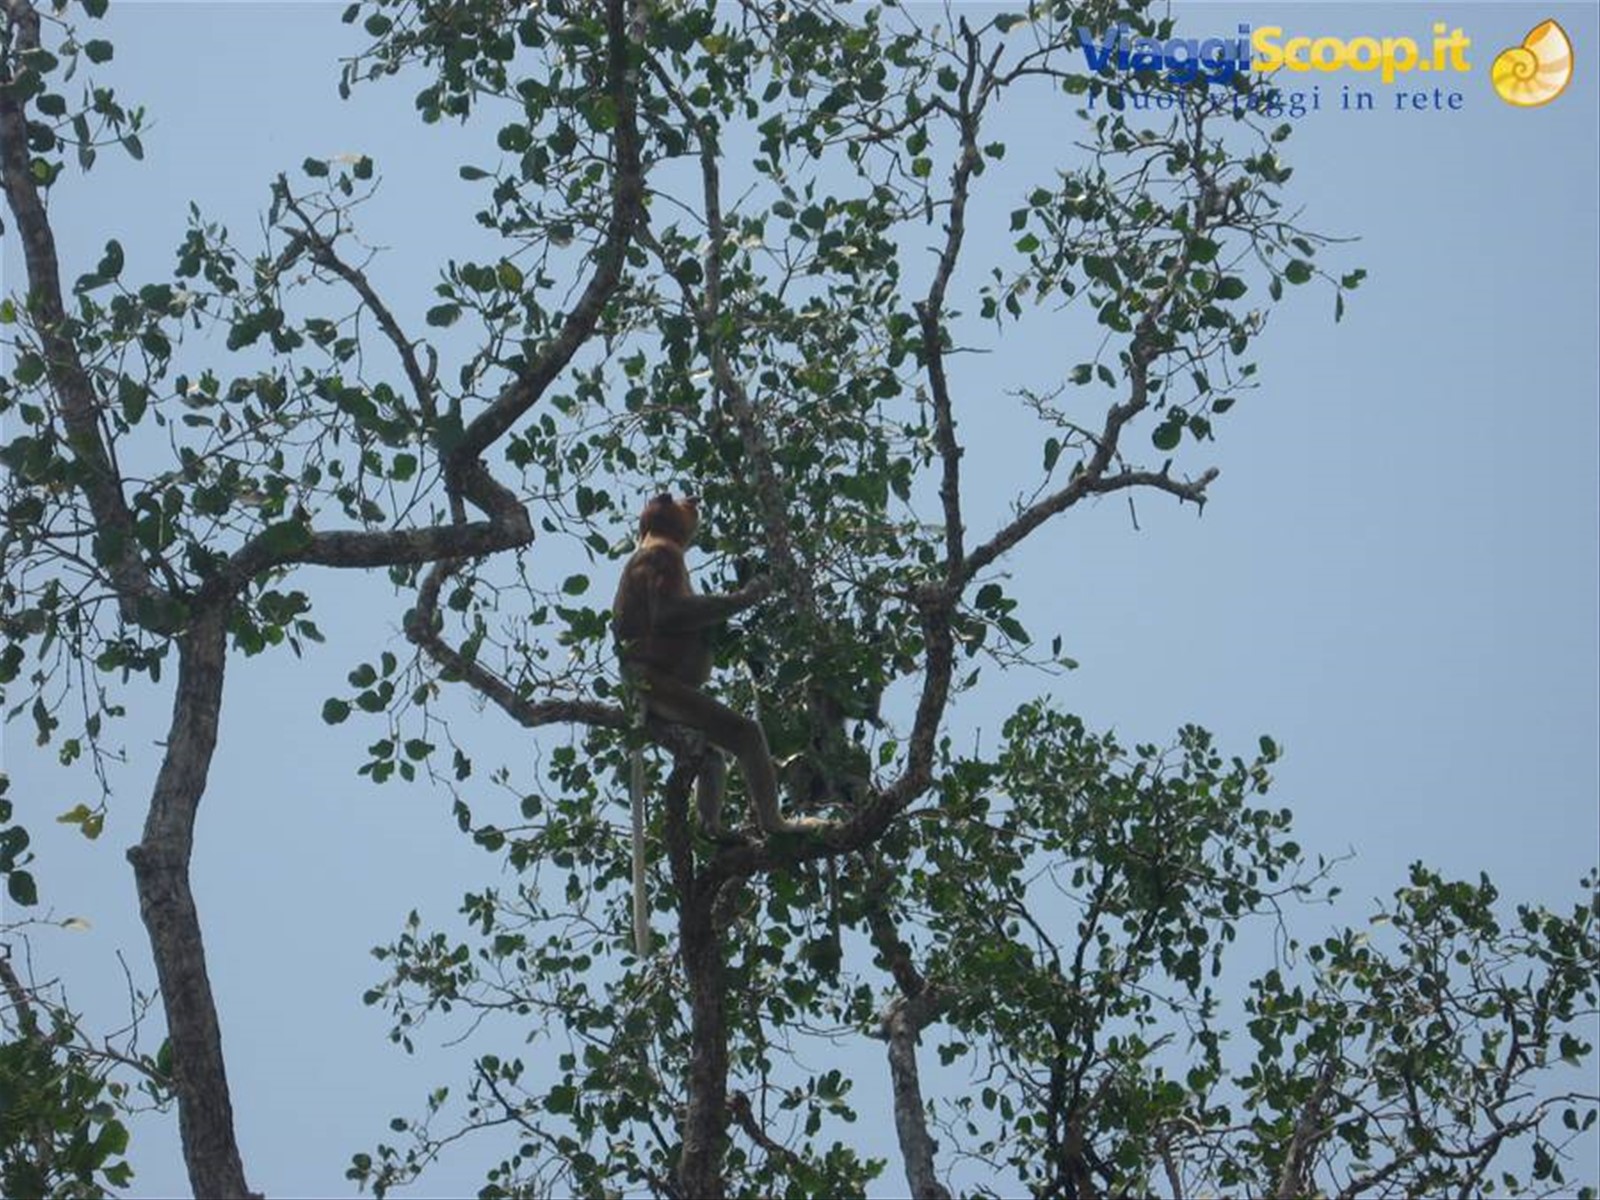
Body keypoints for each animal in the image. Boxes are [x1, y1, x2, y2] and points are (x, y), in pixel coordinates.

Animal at [613, 492, 823, 953]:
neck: (650, 537)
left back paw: (713, 830)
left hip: (671, 711)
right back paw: (778, 826)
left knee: (710, 756)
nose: (691, 497)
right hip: (671, 688)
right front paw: (753, 590)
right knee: (743, 732)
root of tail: (635, 682)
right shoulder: (664, 556)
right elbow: (670, 614)